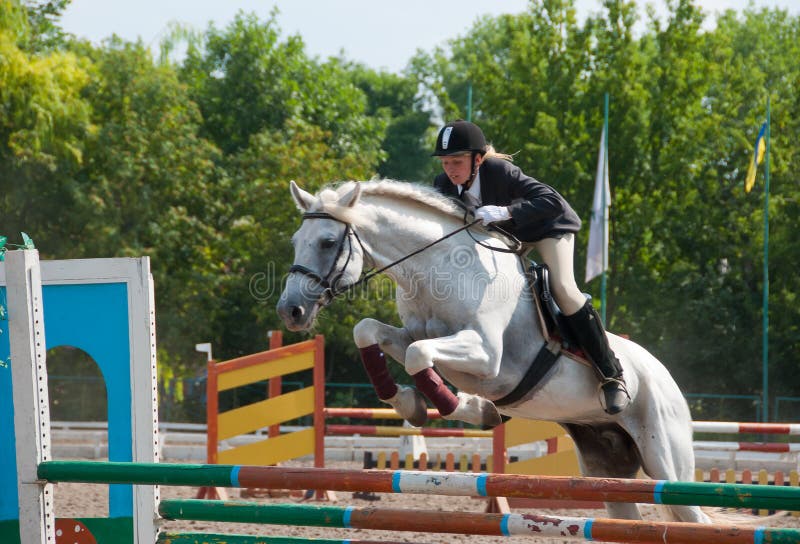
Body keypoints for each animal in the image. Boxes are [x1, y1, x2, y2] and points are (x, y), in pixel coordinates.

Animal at [278, 181, 708, 524]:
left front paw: (467, 407)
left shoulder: (486, 356)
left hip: (664, 458)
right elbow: (369, 331)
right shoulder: (411, 334)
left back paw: (615, 387)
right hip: (606, 466)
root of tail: (668, 380)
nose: (290, 311)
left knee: (692, 513)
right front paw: (409, 402)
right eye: (295, 242)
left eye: (328, 242)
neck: (438, 270)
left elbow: (419, 355)